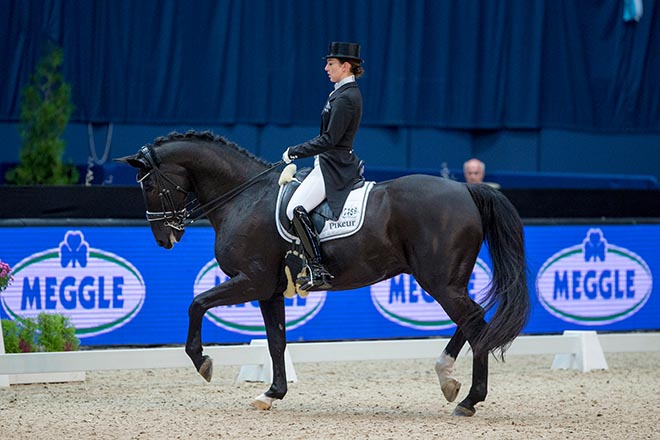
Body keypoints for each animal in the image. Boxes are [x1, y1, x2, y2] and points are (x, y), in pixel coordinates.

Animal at [117, 130, 532, 416]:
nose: (164, 238)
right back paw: (449, 379)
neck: (244, 197)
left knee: (475, 323)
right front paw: (271, 394)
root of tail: (466, 189)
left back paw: (469, 399)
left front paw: (202, 361)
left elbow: (197, 303)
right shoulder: (268, 290)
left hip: (440, 281)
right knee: (473, 319)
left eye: (149, 185)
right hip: (446, 280)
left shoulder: (251, 280)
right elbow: (276, 342)